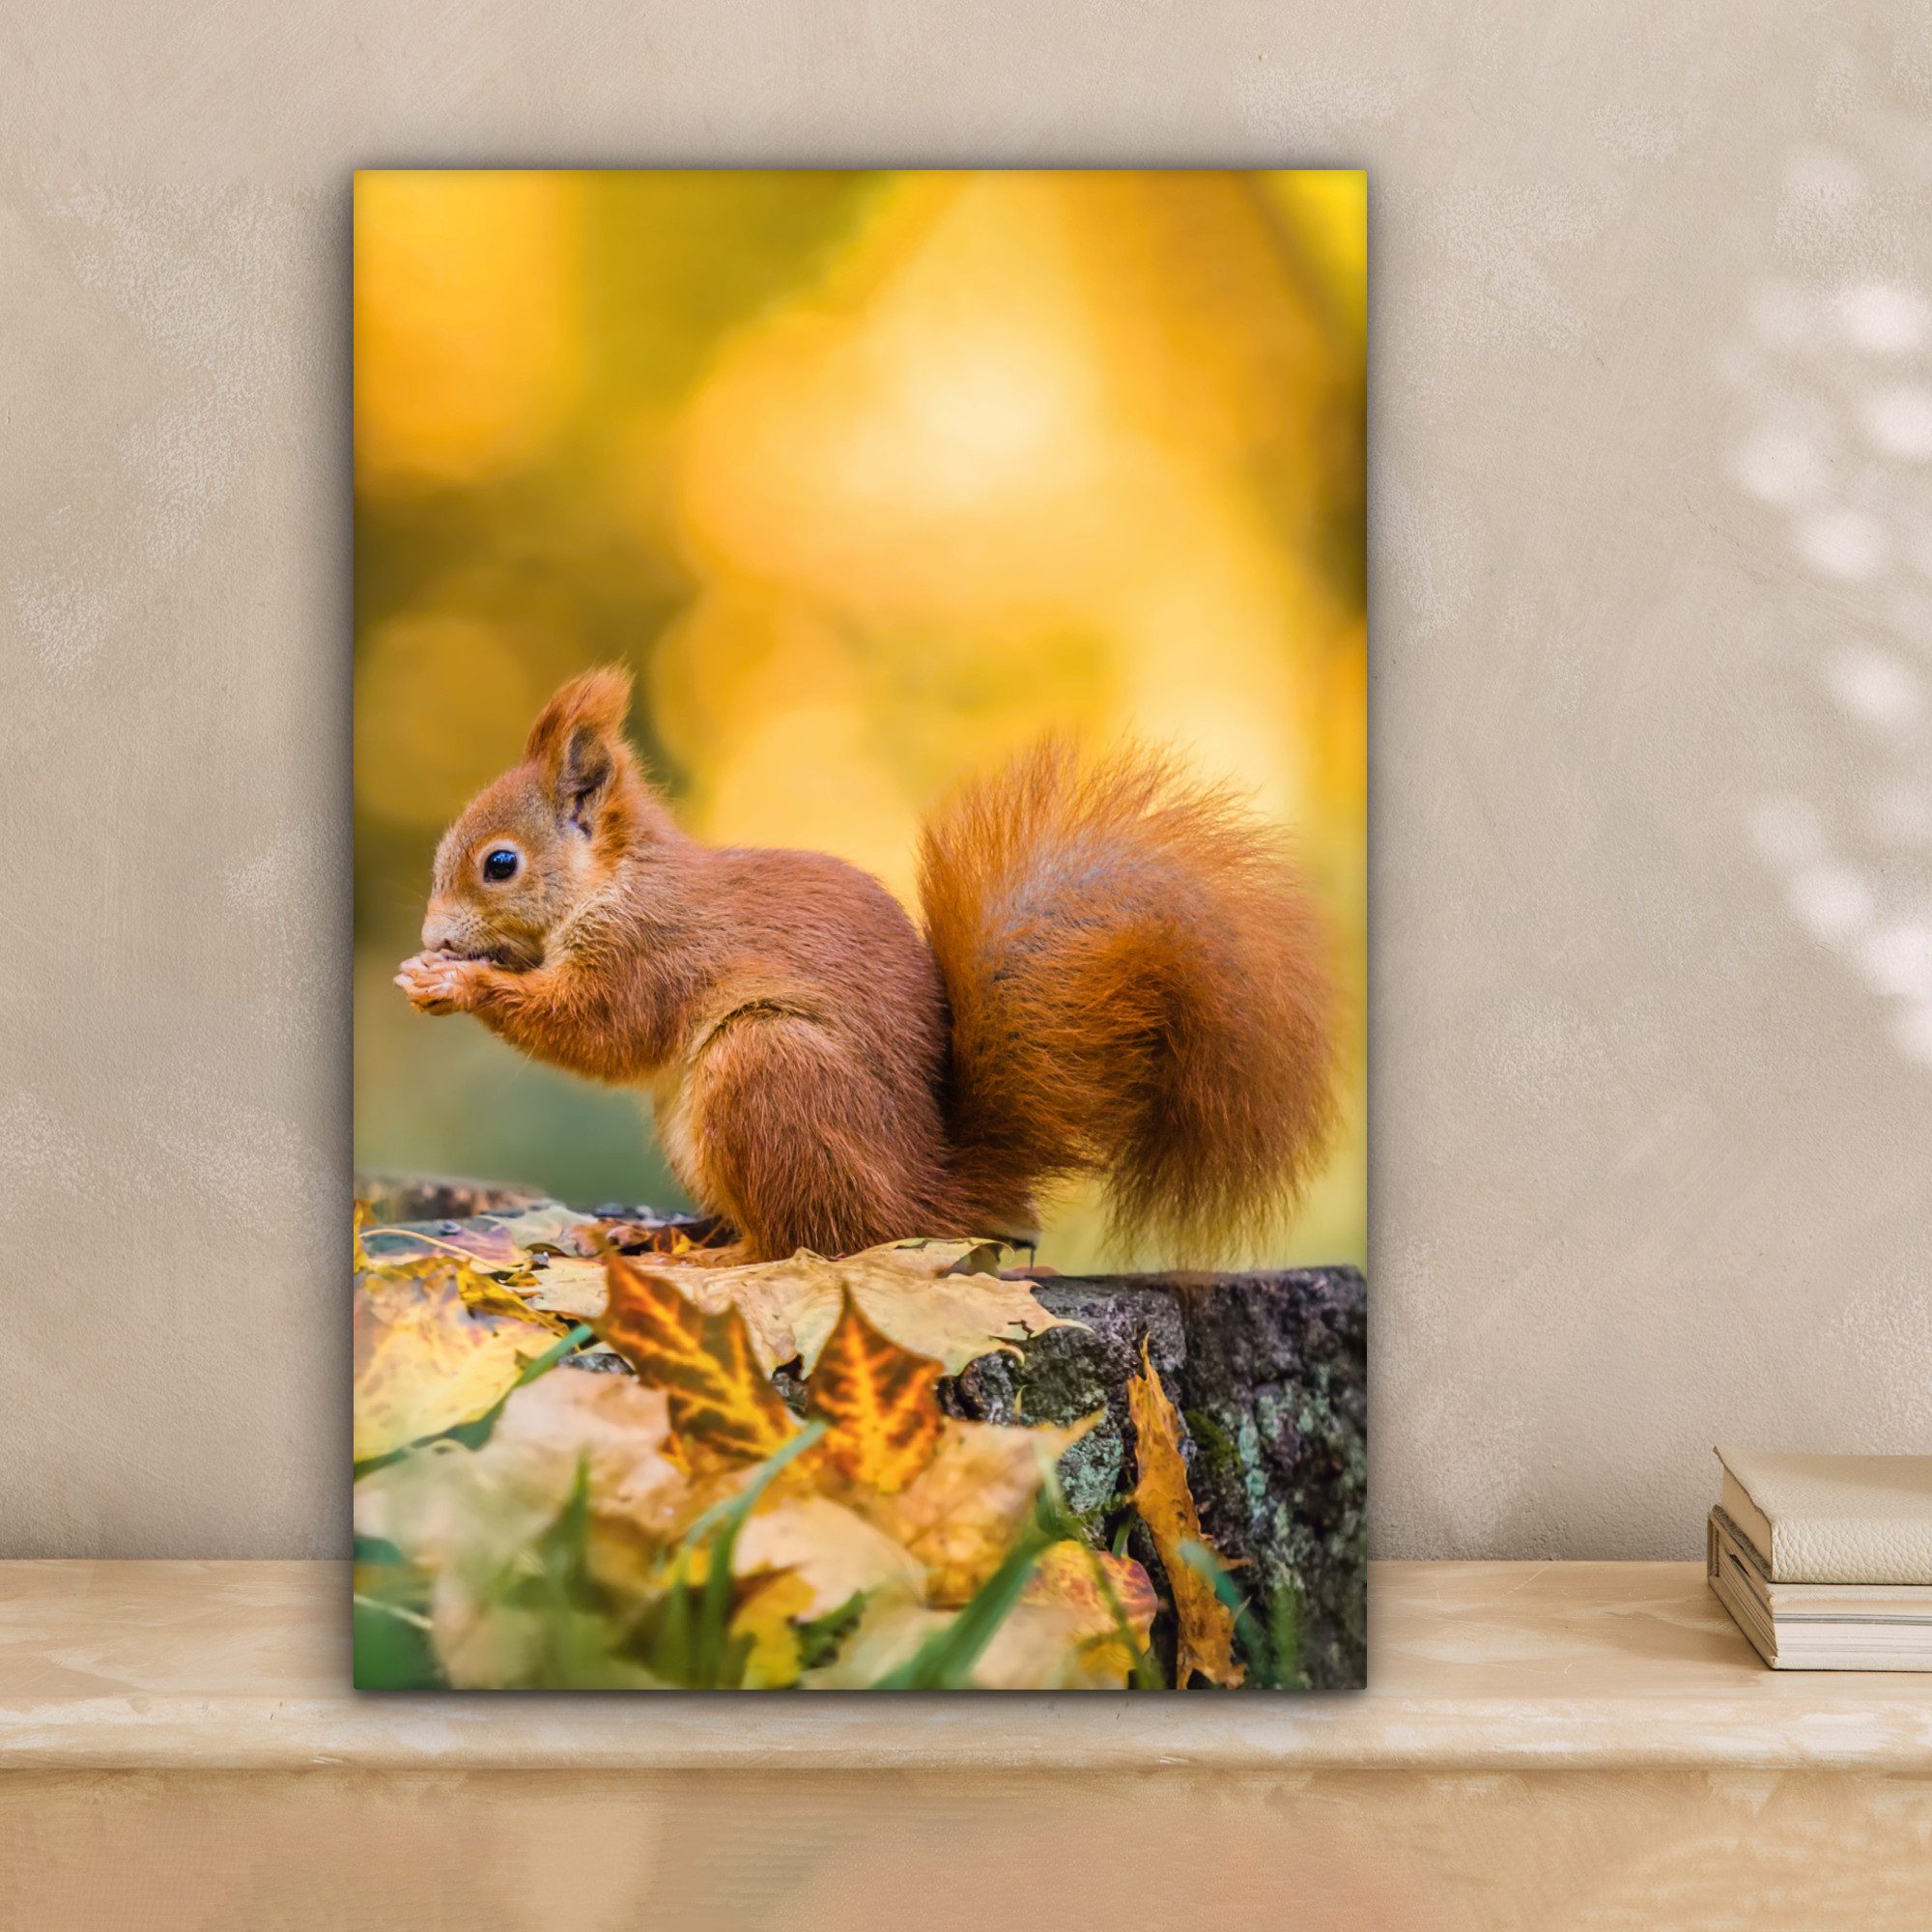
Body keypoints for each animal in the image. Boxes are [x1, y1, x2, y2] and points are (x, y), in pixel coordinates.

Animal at [397, 667, 1337, 1266]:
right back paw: (662, 1236)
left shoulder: (650, 951)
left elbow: (599, 1031)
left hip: (767, 1072)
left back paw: (708, 1261)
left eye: (500, 864)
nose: (434, 937)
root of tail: (925, 1201)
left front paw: (458, 983)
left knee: (806, 1243)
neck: (616, 881)